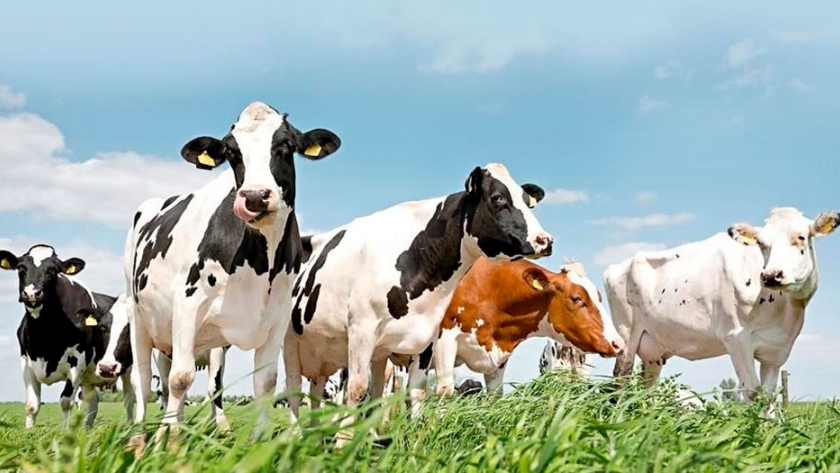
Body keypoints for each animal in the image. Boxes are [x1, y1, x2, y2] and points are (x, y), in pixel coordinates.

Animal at [0, 245, 134, 428]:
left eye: (52, 270)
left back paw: (131, 427)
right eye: (21, 268)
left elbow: (65, 401)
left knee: (129, 399)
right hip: (89, 379)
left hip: (128, 369)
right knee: (92, 404)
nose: (32, 294)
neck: (43, 339)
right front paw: (29, 431)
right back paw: (87, 430)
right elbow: (31, 406)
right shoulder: (26, 362)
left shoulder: (77, 362)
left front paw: (64, 432)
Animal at [124, 101, 342, 439]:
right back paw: (140, 436)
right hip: (138, 317)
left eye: (285, 146)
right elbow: (180, 378)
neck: (260, 264)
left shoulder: (277, 317)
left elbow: (265, 381)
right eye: (231, 152)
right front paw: (168, 439)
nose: (254, 196)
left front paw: (259, 439)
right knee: (144, 381)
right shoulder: (187, 303)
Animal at [282, 162, 554, 444]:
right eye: (498, 198)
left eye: (527, 201)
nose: (545, 240)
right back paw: (295, 436)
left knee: (326, 389)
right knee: (293, 389)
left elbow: (415, 392)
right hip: (289, 341)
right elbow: (357, 389)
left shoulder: (425, 339)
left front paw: (413, 440)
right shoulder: (361, 329)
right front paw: (342, 444)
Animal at [605, 207, 839, 409]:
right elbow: (753, 392)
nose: (771, 275)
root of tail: (616, 266)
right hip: (626, 335)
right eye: (761, 243)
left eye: (801, 237)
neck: (785, 311)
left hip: (653, 348)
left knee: (648, 387)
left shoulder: (776, 350)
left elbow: (770, 395)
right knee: (621, 377)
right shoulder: (736, 338)